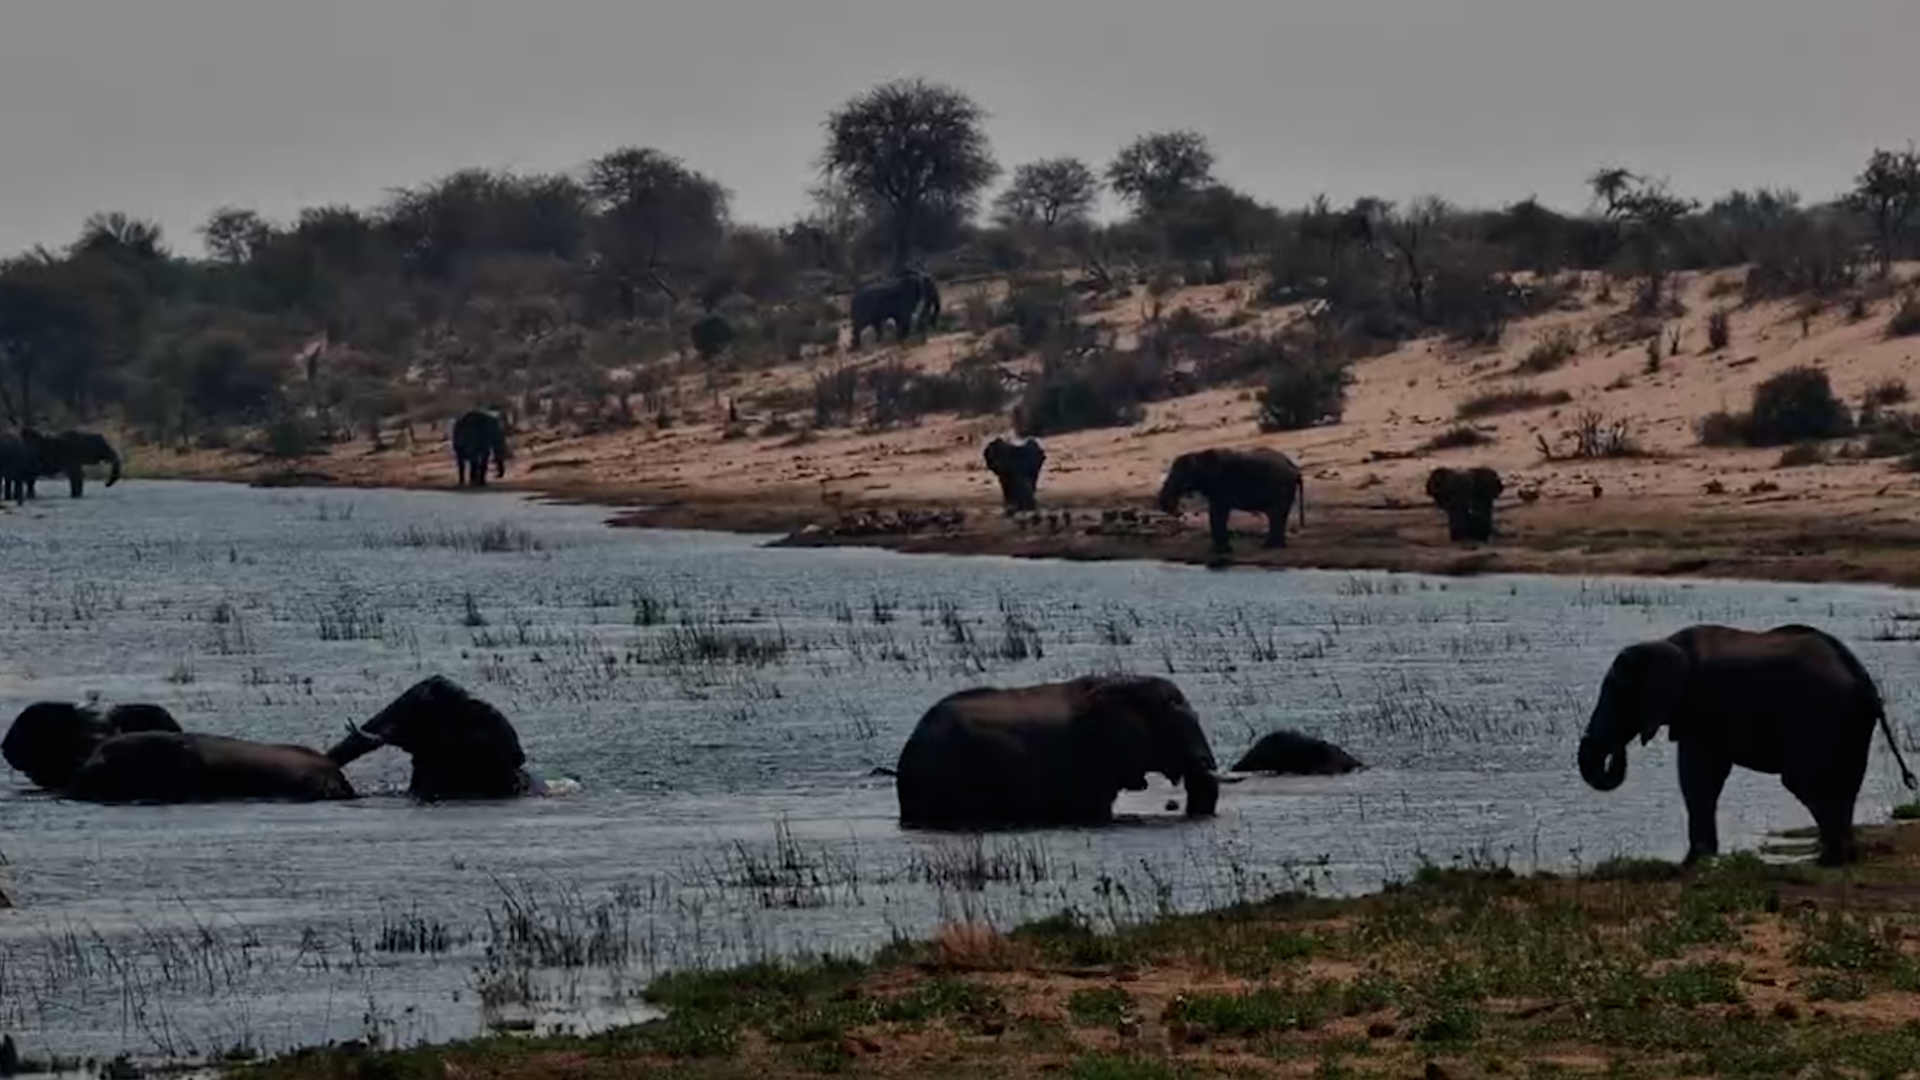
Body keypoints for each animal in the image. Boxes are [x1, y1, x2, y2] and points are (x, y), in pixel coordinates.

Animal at [1156, 447, 1306, 556]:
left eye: (1179, 475)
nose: (1178, 512)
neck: (1200, 455)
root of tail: (1295, 467)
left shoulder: (1221, 484)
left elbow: (1218, 511)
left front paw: (1220, 551)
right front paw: (1220, 550)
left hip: (1281, 488)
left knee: (1276, 514)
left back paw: (1269, 547)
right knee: (1278, 515)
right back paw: (1275, 546)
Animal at [1577, 623, 1918, 867]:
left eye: (1618, 694)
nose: (1616, 748)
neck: (1667, 642)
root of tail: (1863, 679)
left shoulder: (1702, 707)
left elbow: (1696, 777)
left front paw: (1691, 864)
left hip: (1820, 718)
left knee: (1806, 781)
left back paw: (1829, 860)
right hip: (1853, 724)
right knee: (1846, 781)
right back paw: (1841, 858)